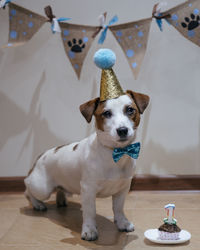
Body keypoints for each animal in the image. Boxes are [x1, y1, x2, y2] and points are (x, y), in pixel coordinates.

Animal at [24, 90, 149, 240]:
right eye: (107, 113)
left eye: (130, 110)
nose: (122, 130)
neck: (113, 152)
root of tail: (41, 155)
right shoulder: (88, 190)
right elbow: (90, 212)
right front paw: (89, 229)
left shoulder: (123, 189)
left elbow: (118, 208)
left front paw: (122, 222)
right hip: (41, 188)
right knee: (28, 190)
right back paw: (37, 204)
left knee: (58, 189)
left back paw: (61, 199)